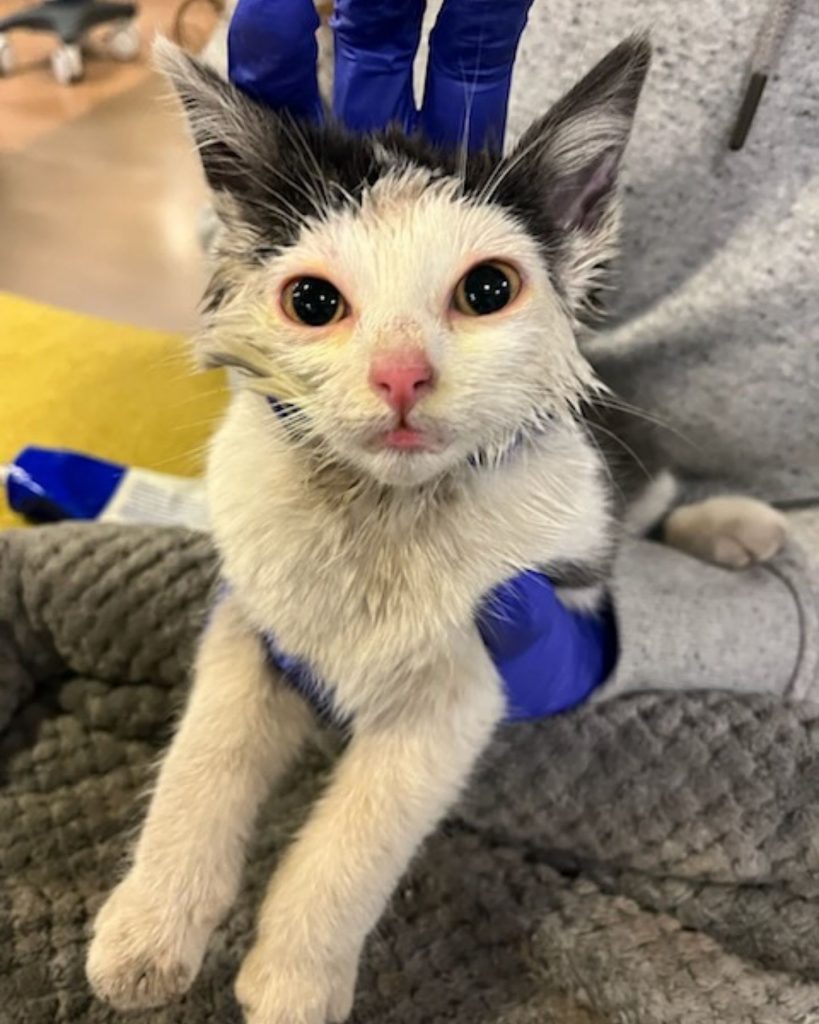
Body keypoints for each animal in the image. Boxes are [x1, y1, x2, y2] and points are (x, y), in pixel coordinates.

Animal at [86, 34, 782, 1024]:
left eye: (487, 288)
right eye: (312, 302)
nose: (401, 374)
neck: (381, 512)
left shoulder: (478, 666)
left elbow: (358, 839)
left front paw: (293, 978)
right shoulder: (252, 614)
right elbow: (204, 752)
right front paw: (148, 928)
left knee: (651, 508)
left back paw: (735, 523)